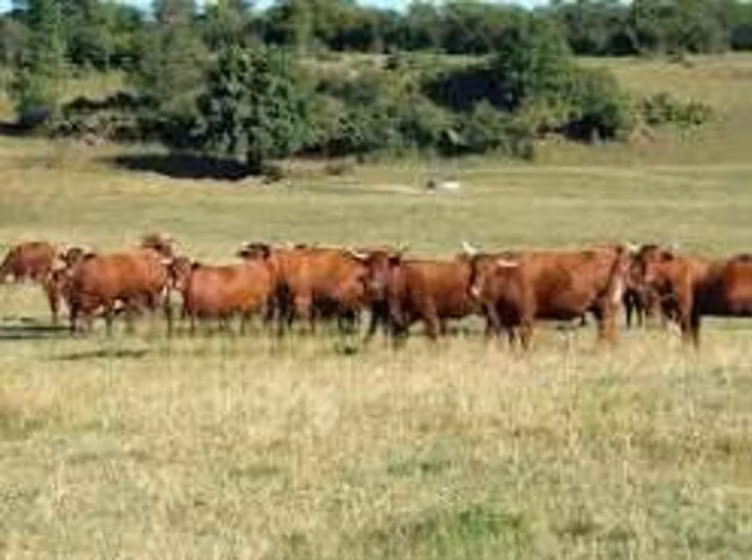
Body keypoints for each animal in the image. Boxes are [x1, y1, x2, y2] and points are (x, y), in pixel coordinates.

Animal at [467, 244, 631, 349]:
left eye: (490, 270)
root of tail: (612, 251)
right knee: (609, 331)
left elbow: (525, 339)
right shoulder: (506, 320)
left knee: (605, 330)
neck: (509, 276)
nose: (474, 290)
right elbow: (511, 340)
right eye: (474, 269)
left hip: (605, 307)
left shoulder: (526, 316)